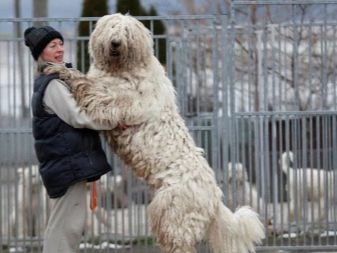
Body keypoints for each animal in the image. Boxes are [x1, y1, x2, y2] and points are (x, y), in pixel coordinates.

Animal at [45, 13, 266, 253]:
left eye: (127, 32)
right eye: (112, 27)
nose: (115, 43)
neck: (121, 70)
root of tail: (215, 198)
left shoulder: (111, 103)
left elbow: (87, 85)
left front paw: (60, 70)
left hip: (173, 214)